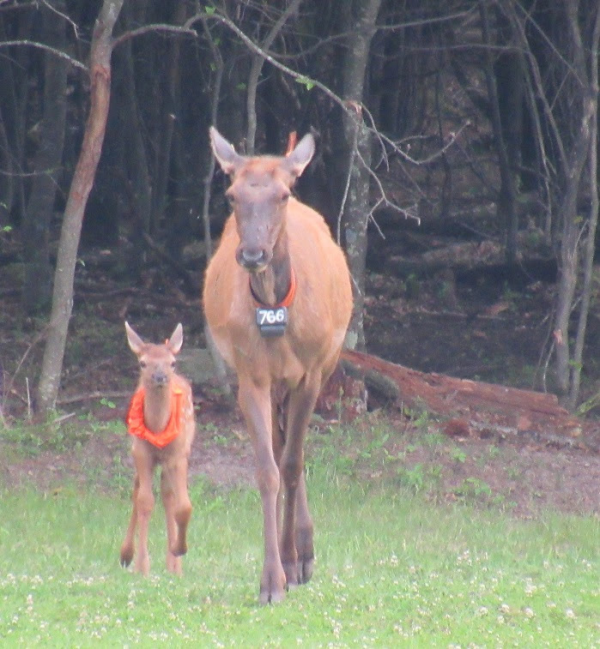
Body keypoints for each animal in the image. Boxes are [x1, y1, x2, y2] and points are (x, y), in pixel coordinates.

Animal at [120, 322, 196, 576]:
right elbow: (145, 501)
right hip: (138, 451)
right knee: (137, 490)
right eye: (143, 363)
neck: (158, 428)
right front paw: (142, 566)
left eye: (172, 362)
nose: (160, 376)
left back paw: (174, 565)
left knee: (168, 495)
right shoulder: (141, 452)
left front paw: (179, 549)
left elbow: (183, 506)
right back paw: (126, 554)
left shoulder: (178, 454)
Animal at [204, 126, 354, 604]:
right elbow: (268, 471)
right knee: (284, 441)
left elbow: (290, 465)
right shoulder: (250, 376)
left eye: (283, 194)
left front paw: (291, 562)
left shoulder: (310, 373)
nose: (253, 254)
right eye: (232, 195)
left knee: (295, 452)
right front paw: (271, 579)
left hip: (326, 363)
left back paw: (304, 552)